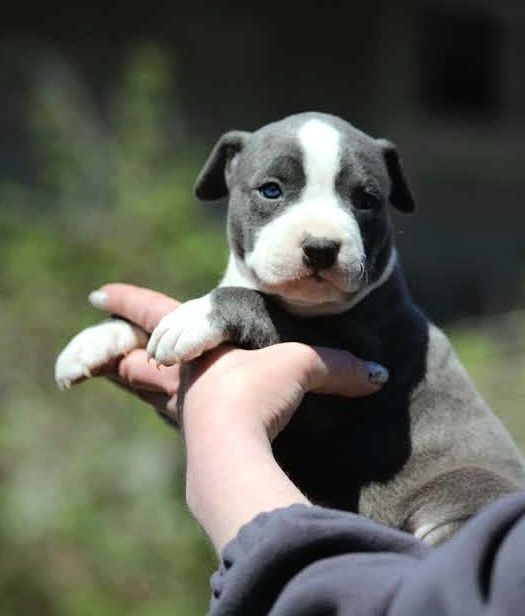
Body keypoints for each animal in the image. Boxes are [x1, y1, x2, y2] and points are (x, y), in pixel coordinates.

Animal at [54, 112, 524, 544]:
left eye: (367, 200)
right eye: (271, 190)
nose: (320, 247)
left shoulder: (345, 372)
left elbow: (257, 306)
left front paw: (192, 316)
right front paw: (96, 338)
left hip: (466, 495)